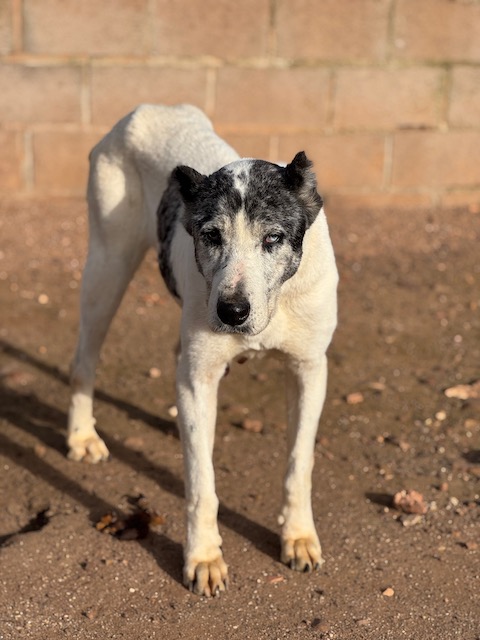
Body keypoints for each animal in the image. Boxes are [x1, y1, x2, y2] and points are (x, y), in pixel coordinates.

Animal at [68, 104, 338, 597]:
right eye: (210, 236)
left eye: (273, 238)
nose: (232, 311)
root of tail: (146, 109)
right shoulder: (199, 379)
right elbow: (201, 483)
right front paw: (204, 556)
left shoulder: (309, 371)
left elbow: (299, 464)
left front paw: (298, 536)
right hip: (106, 272)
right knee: (83, 362)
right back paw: (81, 436)